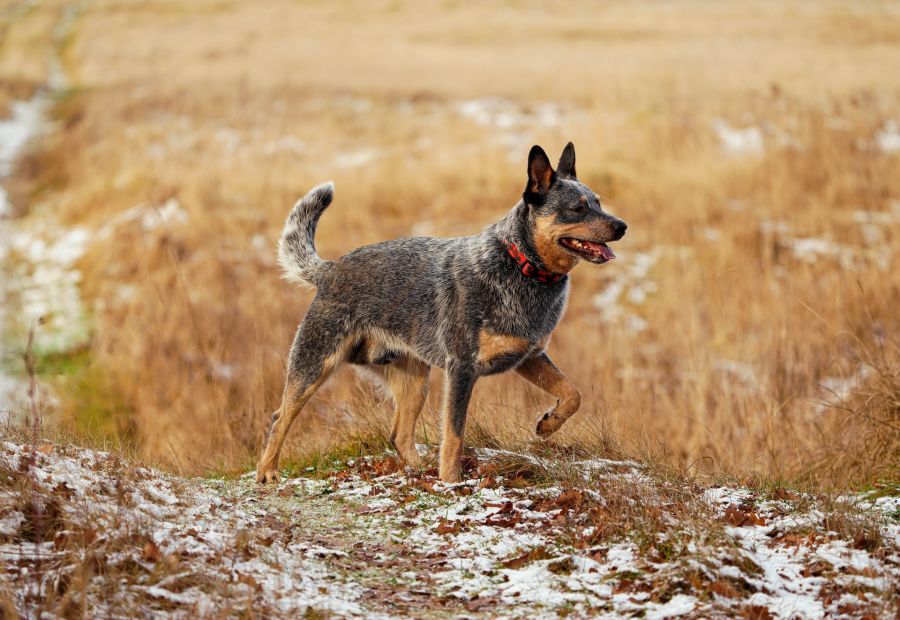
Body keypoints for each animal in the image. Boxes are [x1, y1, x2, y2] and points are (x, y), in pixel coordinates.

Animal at [256, 142, 624, 484]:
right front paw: (451, 482)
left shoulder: (529, 356)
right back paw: (267, 472)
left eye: (598, 202)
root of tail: (330, 270)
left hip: (415, 380)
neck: (521, 266)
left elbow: (573, 394)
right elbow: (454, 435)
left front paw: (548, 424)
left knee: (399, 434)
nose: (622, 226)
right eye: (578, 208)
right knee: (280, 417)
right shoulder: (461, 368)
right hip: (314, 364)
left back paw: (420, 472)